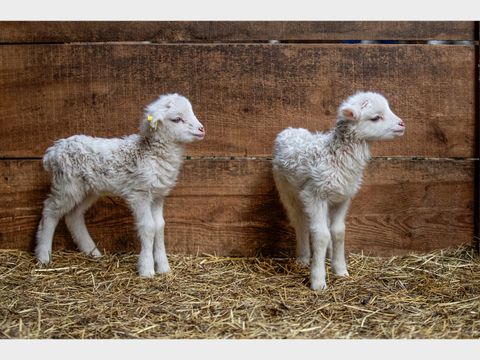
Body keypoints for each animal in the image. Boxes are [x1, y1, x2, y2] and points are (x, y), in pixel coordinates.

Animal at [34, 93, 204, 278]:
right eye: (177, 119)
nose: (202, 129)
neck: (152, 153)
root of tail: (52, 152)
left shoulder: (158, 195)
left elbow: (160, 227)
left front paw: (164, 268)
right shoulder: (139, 194)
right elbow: (149, 227)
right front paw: (147, 269)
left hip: (88, 190)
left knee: (73, 216)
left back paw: (92, 252)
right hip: (67, 185)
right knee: (50, 211)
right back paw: (43, 256)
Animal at [272, 91, 404, 292]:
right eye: (376, 117)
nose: (402, 124)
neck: (334, 155)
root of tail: (289, 130)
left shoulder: (344, 197)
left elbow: (338, 231)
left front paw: (340, 269)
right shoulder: (314, 195)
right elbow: (320, 235)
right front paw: (318, 281)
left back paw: (328, 255)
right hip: (287, 190)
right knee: (300, 222)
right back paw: (303, 258)